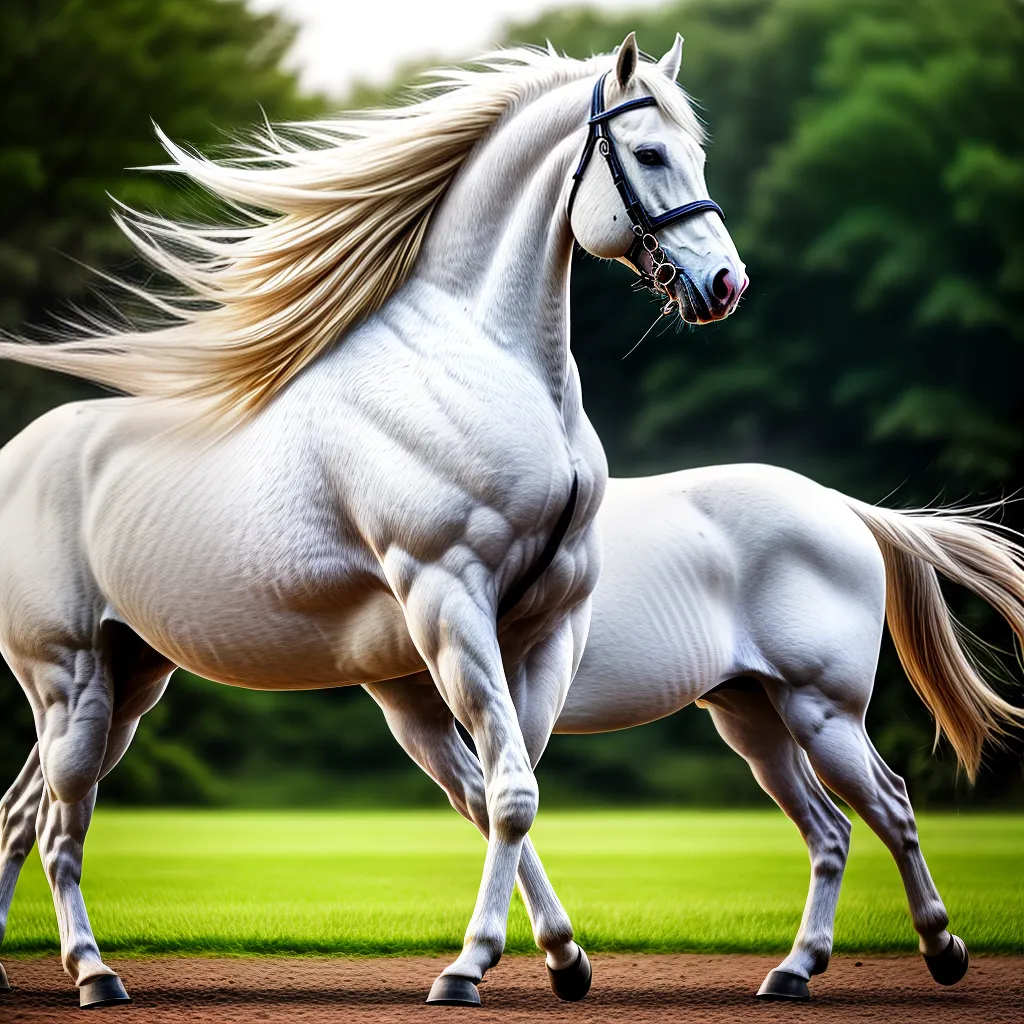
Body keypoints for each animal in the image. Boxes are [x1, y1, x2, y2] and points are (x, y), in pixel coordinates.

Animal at [0, 34, 745, 1008]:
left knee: (19, 813)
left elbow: (509, 788)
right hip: (69, 680)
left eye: (697, 152)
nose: (725, 284)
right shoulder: (449, 602)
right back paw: (94, 973)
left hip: (128, 681)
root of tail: (17, 458)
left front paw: (565, 959)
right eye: (651, 153)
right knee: (60, 824)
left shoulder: (550, 623)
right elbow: (508, 794)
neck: (488, 364)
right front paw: (467, 968)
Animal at [369, 462, 1024, 1002]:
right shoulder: (416, 712)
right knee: (831, 829)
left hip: (823, 714)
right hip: (757, 726)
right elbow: (486, 806)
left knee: (890, 807)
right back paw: (796, 969)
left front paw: (483, 964)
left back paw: (940, 947)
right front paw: (561, 956)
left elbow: (501, 805)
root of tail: (840, 504)